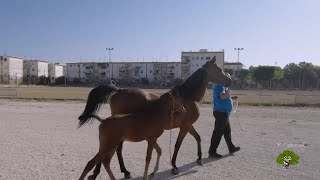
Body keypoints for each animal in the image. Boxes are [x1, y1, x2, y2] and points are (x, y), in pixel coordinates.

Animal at [78, 56, 231, 179]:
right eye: (218, 69)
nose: (229, 80)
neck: (188, 95)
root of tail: (118, 90)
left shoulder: (188, 125)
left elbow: (198, 137)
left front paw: (199, 159)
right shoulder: (185, 126)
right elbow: (177, 145)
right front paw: (174, 166)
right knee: (115, 150)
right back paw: (115, 172)